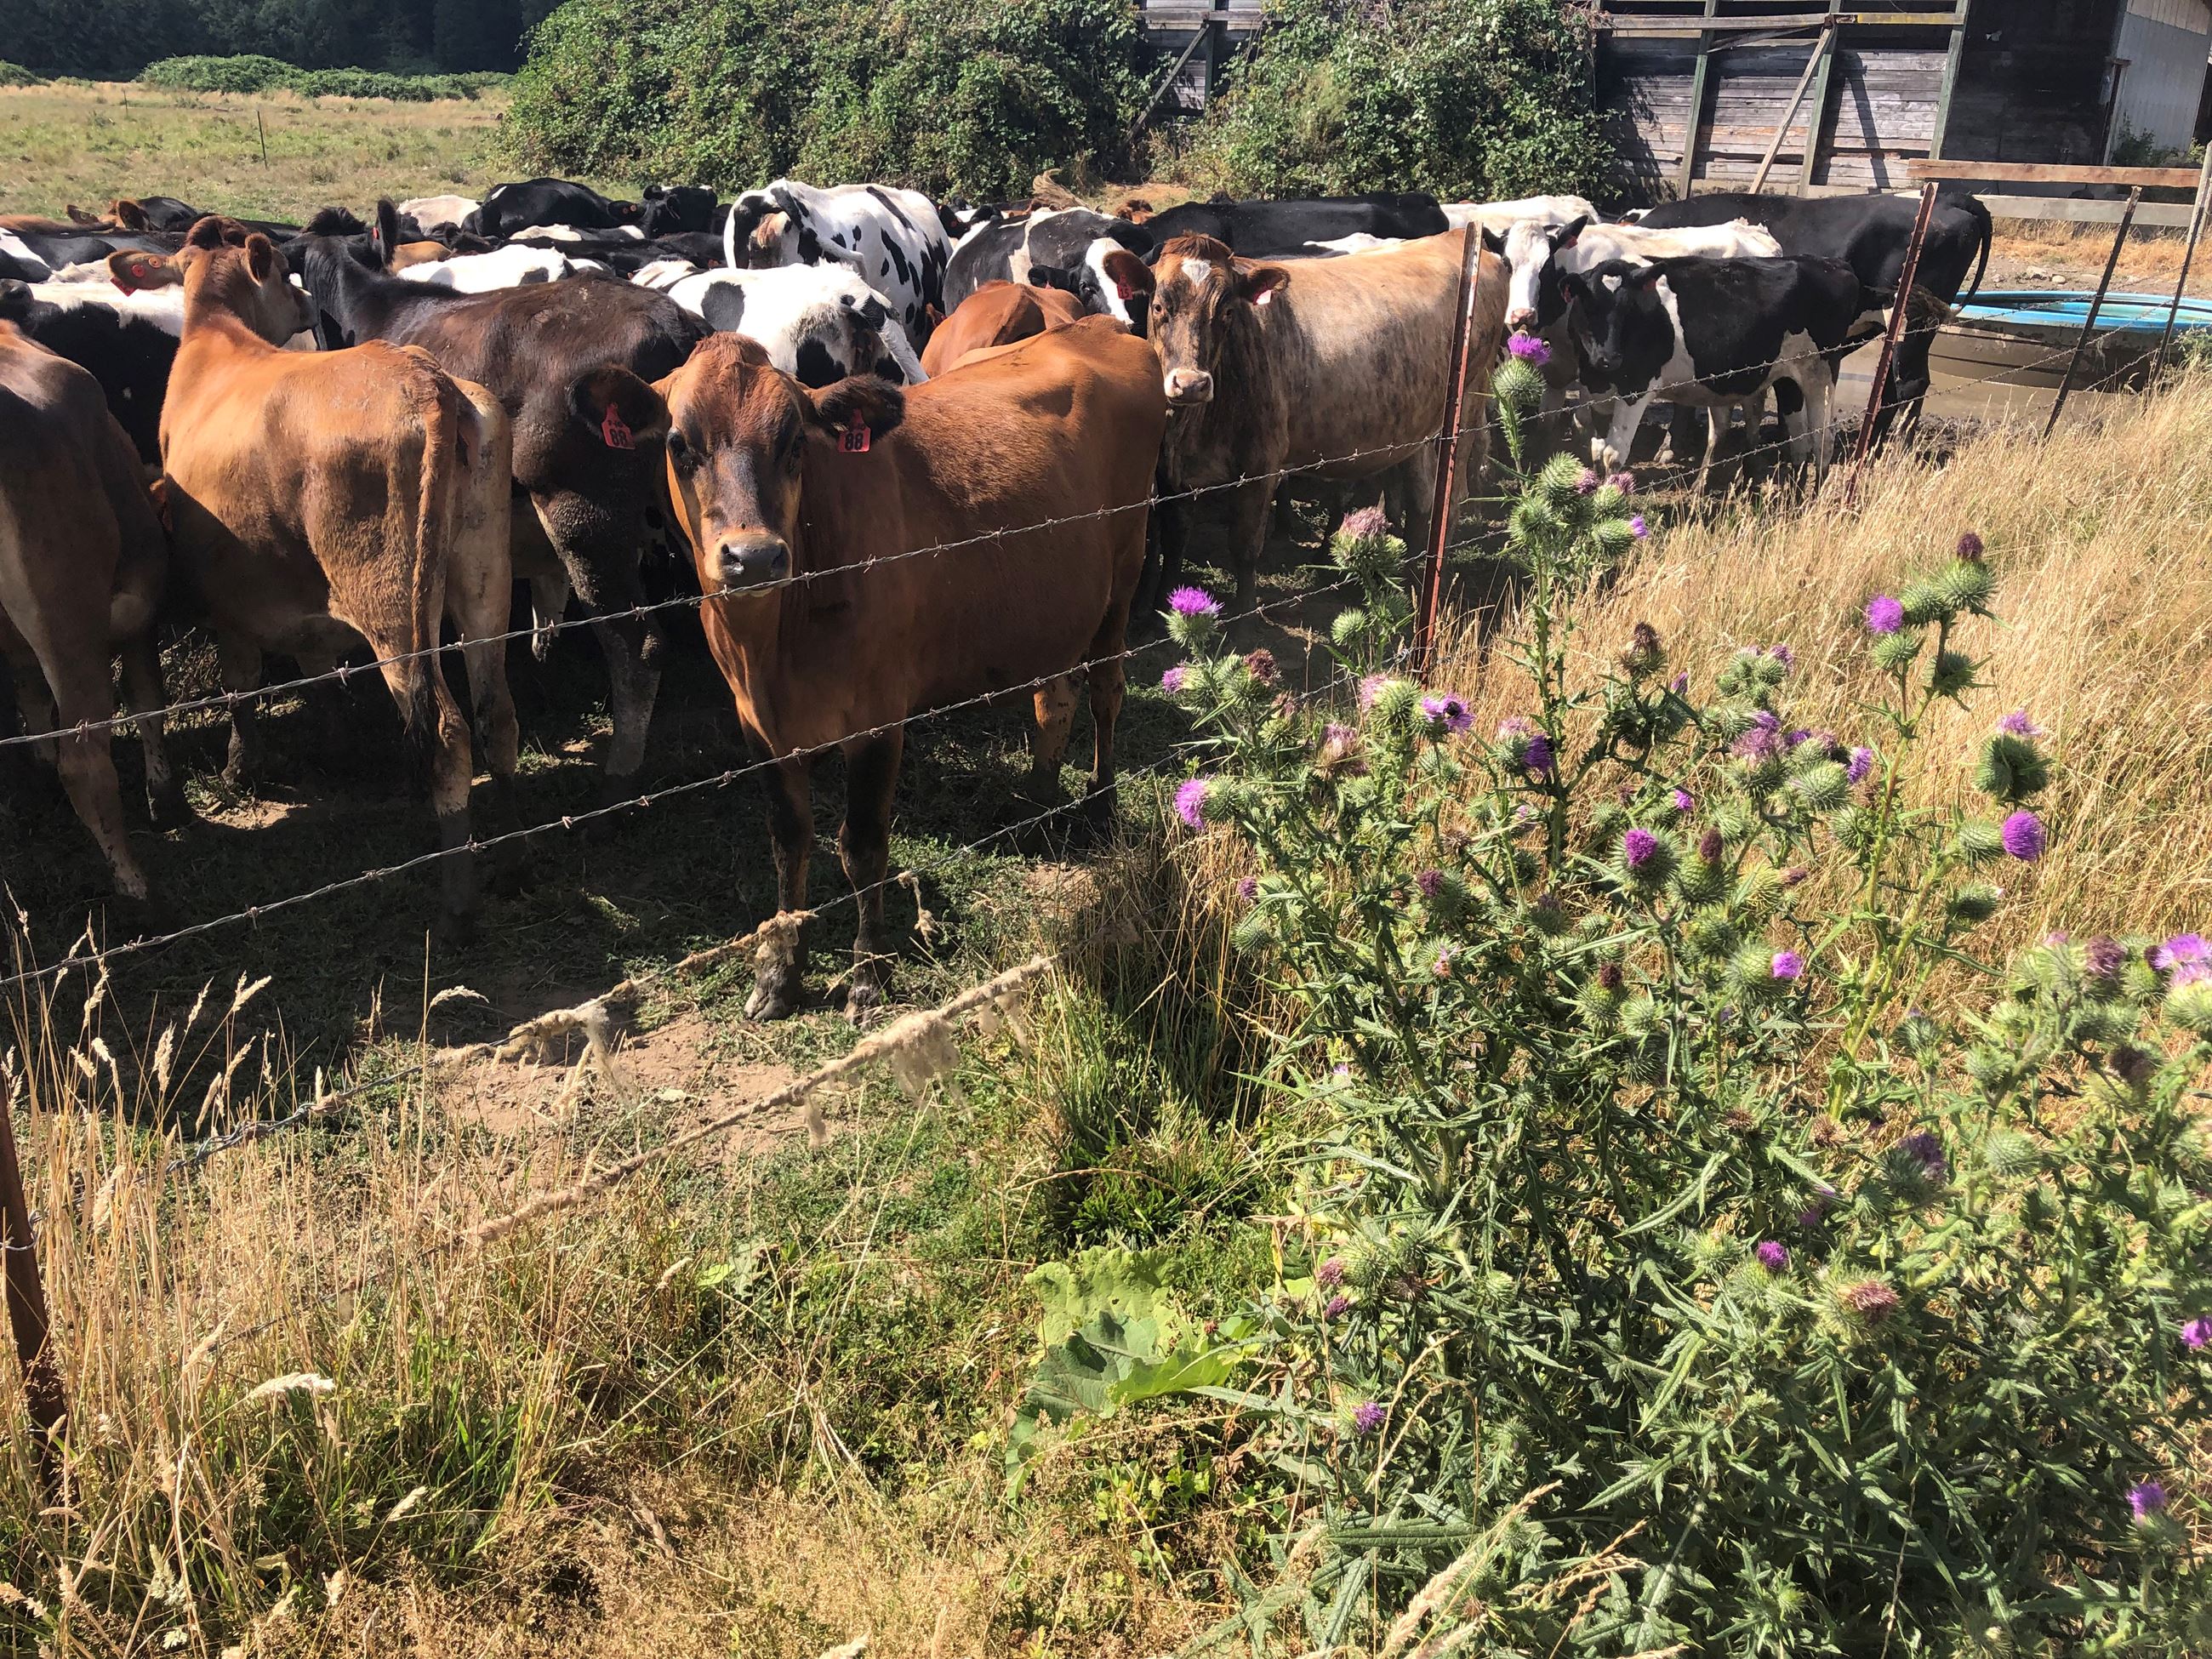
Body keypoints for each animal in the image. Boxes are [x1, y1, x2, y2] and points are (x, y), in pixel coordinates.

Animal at [0, 323, 179, 899]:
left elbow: (33, 706)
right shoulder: (140, 616)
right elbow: (147, 701)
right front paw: (164, 797)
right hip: (69, 621)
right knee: (82, 760)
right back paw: (137, 888)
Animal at [145, 219, 516, 928]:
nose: (300, 305)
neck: (216, 339)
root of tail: (426, 379)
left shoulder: (227, 598)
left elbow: (240, 686)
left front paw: (238, 770)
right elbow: (316, 679)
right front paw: (335, 749)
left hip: (393, 609)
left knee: (449, 736)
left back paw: (456, 903)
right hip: (483, 579)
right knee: (497, 709)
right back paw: (516, 837)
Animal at [646, 319, 1166, 1019]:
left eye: (794, 442)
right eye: (679, 444)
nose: (752, 557)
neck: (772, 645)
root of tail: (1095, 325)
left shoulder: (876, 717)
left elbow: (862, 846)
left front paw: (868, 975)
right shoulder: (757, 725)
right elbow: (788, 842)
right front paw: (777, 973)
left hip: (1125, 570)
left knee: (1108, 691)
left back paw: (1101, 803)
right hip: (1057, 601)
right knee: (1054, 696)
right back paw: (1039, 794)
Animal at [1134, 229, 1507, 617]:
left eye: (1226, 312)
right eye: (1159, 306)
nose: (1191, 383)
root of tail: (1456, 236)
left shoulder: (1261, 465)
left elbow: (1244, 546)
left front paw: (1244, 618)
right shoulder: (1171, 473)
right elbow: (1174, 541)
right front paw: (1163, 605)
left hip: (1467, 405)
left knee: (1451, 498)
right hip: (1419, 425)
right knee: (1423, 499)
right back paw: (1412, 576)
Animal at [1561, 254, 1864, 488]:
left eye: (1629, 309)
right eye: (1589, 308)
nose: (1610, 359)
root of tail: (1832, 264)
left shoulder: (1637, 388)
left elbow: (1614, 455)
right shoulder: (1595, 390)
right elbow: (1596, 449)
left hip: (1820, 372)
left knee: (1823, 440)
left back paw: (1812, 502)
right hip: (1787, 377)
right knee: (1799, 440)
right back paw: (1794, 500)